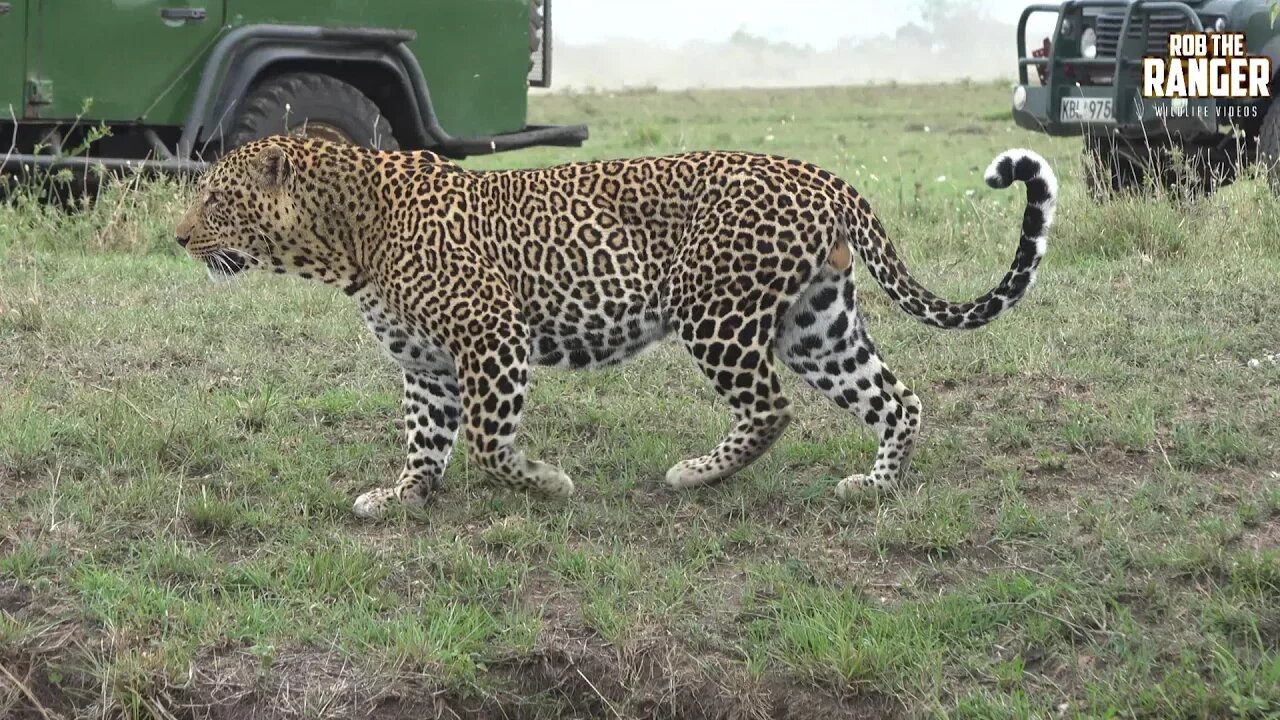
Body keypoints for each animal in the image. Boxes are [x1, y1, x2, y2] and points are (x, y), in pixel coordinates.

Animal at [174, 135, 1057, 519]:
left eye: (214, 199)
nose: (178, 238)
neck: (341, 238)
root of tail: (821, 174)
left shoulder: (491, 337)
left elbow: (489, 444)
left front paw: (548, 483)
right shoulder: (426, 365)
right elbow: (426, 440)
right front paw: (402, 496)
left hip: (719, 312)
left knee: (769, 407)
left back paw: (698, 474)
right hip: (817, 322)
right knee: (896, 399)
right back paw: (874, 487)